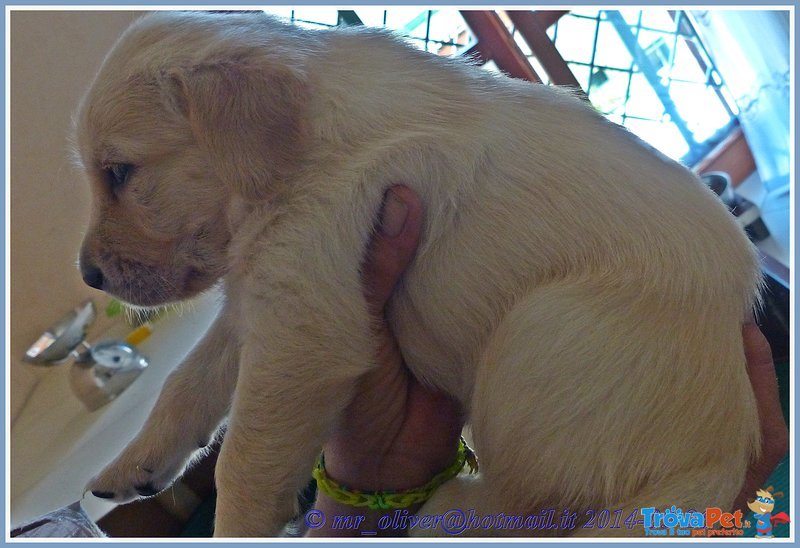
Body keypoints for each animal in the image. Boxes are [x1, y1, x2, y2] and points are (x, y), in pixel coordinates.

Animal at [76, 10, 764, 536]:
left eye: (120, 173)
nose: (86, 276)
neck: (299, 152)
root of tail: (721, 454)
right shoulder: (260, 292)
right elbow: (184, 385)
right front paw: (133, 465)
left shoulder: (303, 328)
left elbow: (243, 464)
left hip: (538, 337)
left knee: (523, 505)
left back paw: (445, 512)